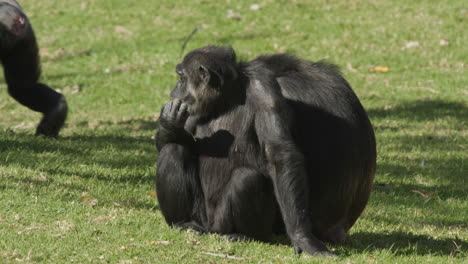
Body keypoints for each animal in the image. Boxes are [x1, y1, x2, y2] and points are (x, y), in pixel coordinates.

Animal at [155, 45, 378, 256]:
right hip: (201, 216)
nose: (174, 89)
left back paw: (242, 234)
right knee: (172, 151)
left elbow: (279, 153)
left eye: (181, 78)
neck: (227, 96)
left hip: (222, 222)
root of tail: (210, 227)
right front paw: (170, 122)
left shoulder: (264, 90)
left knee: (247, 178)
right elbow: (166, 143)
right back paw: (184, 223)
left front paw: (303, 238)